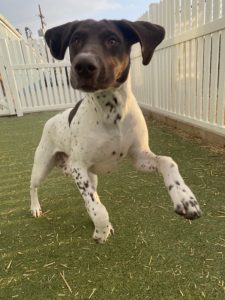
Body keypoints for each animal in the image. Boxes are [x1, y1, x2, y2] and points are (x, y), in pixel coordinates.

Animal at [30, 18, 202, 243]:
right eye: (76, 40)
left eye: (113, 40)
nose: (83, 65)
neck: (111, 113)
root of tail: (51, 119)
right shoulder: (78, 167)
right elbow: (99, 209)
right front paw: (102, 229)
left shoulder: (139, 157)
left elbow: (167, 161)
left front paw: (185, 197)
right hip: (43, 166)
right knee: (33, 186)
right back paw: (35, 208)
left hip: (91, 175)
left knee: (92, 195)